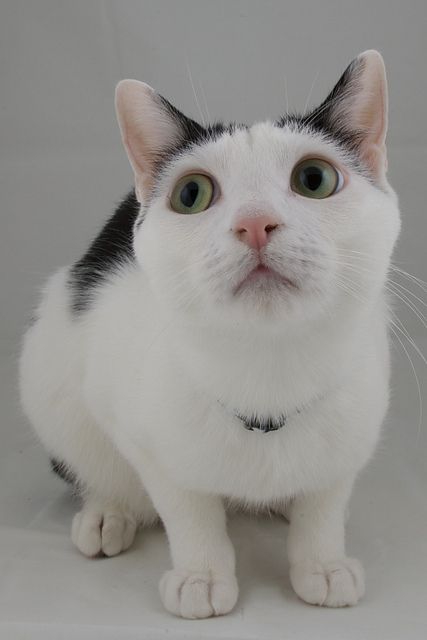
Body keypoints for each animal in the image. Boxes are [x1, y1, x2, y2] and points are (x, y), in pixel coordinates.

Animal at [19, 51, 402, 620]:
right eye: (191, 194)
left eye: (313, 178)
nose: (256, 223)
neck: (269, 369)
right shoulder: (139, 434)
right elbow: (187, 509)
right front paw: (200, 575)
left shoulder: (352, 437)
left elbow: (325, 503)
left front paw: (323, 564)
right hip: (48, 368)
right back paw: (108, 512)